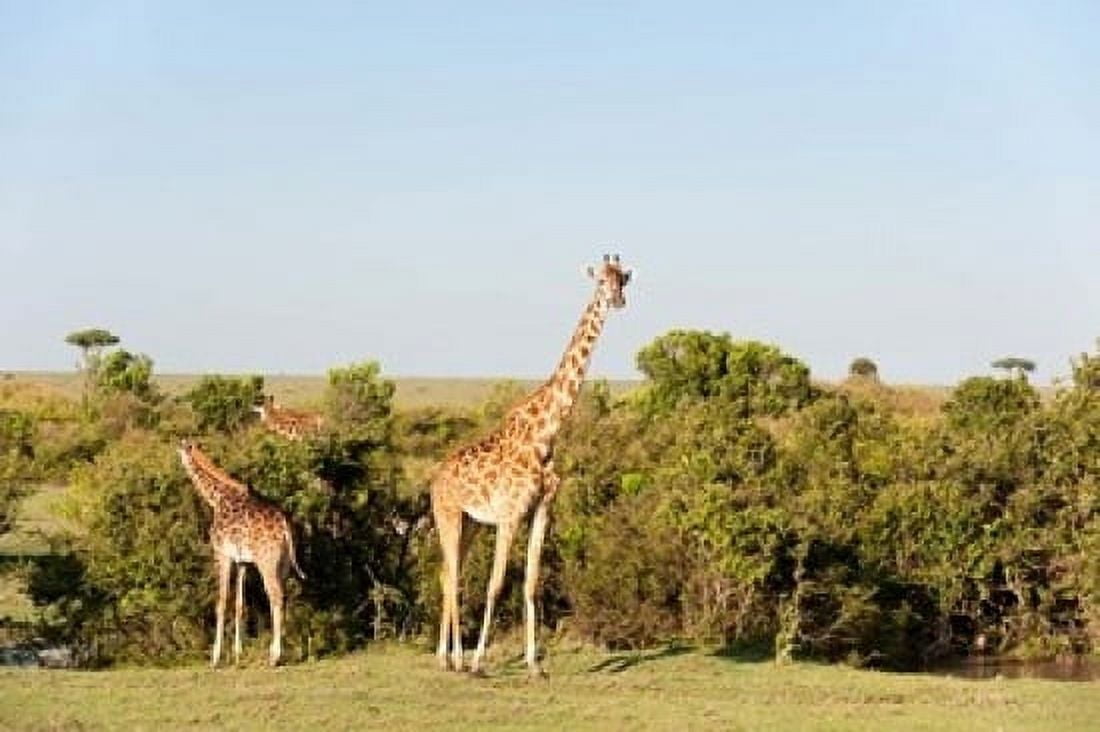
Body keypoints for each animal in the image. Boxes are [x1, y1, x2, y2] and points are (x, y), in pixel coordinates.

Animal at [178, 439, 305, 667]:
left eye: (182, 449)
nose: (178, 454)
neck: (217, 498)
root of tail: (285, 527)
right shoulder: (242, 562)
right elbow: (239, 604)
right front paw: (238, 654)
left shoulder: (222, 554)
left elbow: (221, 602)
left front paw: (215, 657)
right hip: (283, 564)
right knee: (283, 596)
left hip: (267, 561)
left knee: (275, 596)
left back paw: (274, 657)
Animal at [431, 253, 632, 676]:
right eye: (600, 282)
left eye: (623, 279)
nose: (618, 301)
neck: (545, 437)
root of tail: (434, 479)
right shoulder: (510, 515)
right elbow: (495, 584)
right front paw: (479, 662)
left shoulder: (542, 510)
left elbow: (531, 582)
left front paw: (534, 665)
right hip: (448, 515)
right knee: (453, 575)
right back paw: (456, 659)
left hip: (472, 523)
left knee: (446, 573)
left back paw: (445, 656)